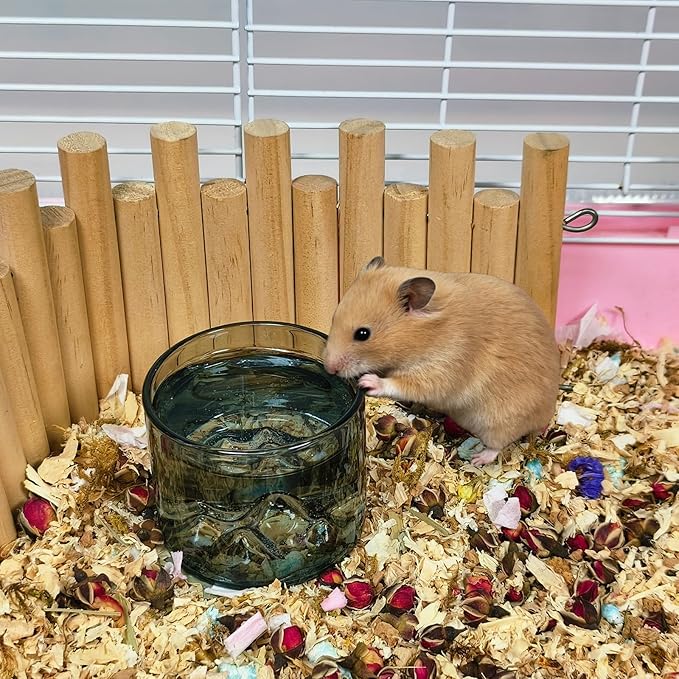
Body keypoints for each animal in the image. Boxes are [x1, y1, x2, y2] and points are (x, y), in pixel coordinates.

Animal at [323, 256, 561, 466]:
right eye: (333, 317)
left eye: (363, 334)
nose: (328, 368)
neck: (428, 335)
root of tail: (547, 414)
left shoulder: (442, 367)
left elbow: (402, 384)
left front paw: (367, 382)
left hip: (500, 420)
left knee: (498, 444)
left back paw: (477, 458)